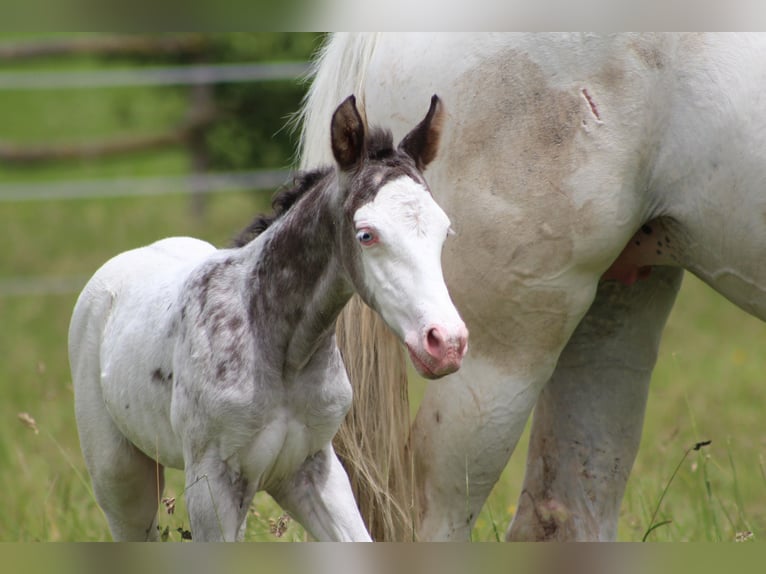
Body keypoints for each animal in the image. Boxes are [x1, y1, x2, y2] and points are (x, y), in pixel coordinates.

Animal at [69, 94, 468, 544]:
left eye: (445, 231)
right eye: (366, 234)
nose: (446, 342)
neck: (284, 353)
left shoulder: (312, 469)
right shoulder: (212, 483)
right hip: (120, 476)